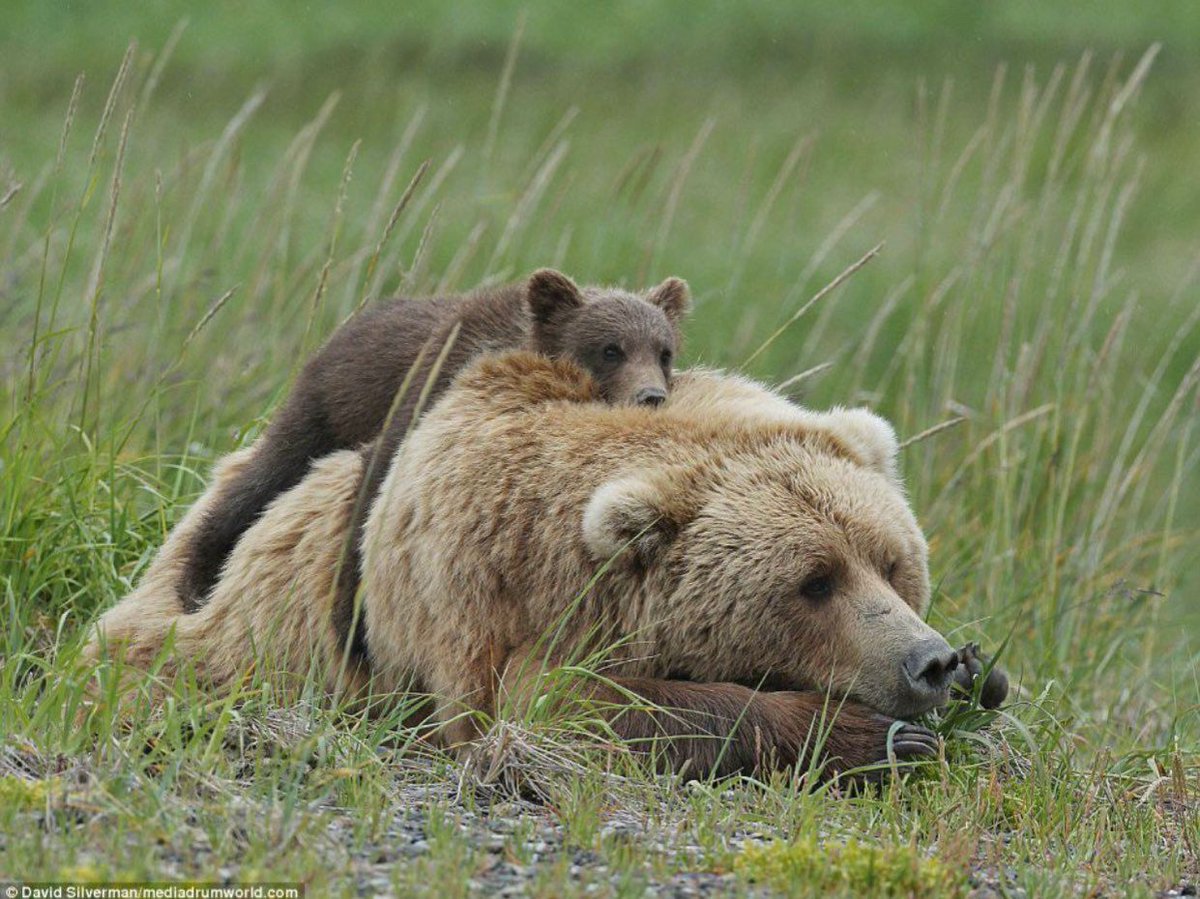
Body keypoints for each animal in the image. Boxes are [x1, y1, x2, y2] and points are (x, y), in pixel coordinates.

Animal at [87, 352, 980, 779]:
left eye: (891, 561)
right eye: (814, 581)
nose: (927, 659)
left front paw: (977, 675)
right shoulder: (483, 612)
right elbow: (562, 709)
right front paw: (868, 735)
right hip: (228, 635)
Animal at [175, 268, 691, 616]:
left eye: (663, 351)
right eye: (610, 349)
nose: (650, 396)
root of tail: (349, 324)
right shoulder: (427, 387)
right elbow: (374, 492)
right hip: (326, 406)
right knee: (266, 474)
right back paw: (196, 578)